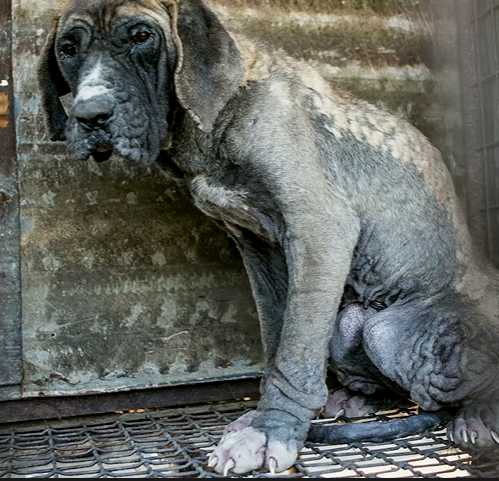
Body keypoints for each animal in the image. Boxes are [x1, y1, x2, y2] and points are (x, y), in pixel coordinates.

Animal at [37, 0, 499, 472]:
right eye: (68, 49)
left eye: (142, 37)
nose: (90, 116)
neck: (218, 112)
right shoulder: (259, 246)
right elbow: (277, 337)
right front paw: (260, 418)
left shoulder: (319, 228)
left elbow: (294, 352)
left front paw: (270, 430)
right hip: (347, 324)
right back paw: (361, 399)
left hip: (386, 330)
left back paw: (479, 417)